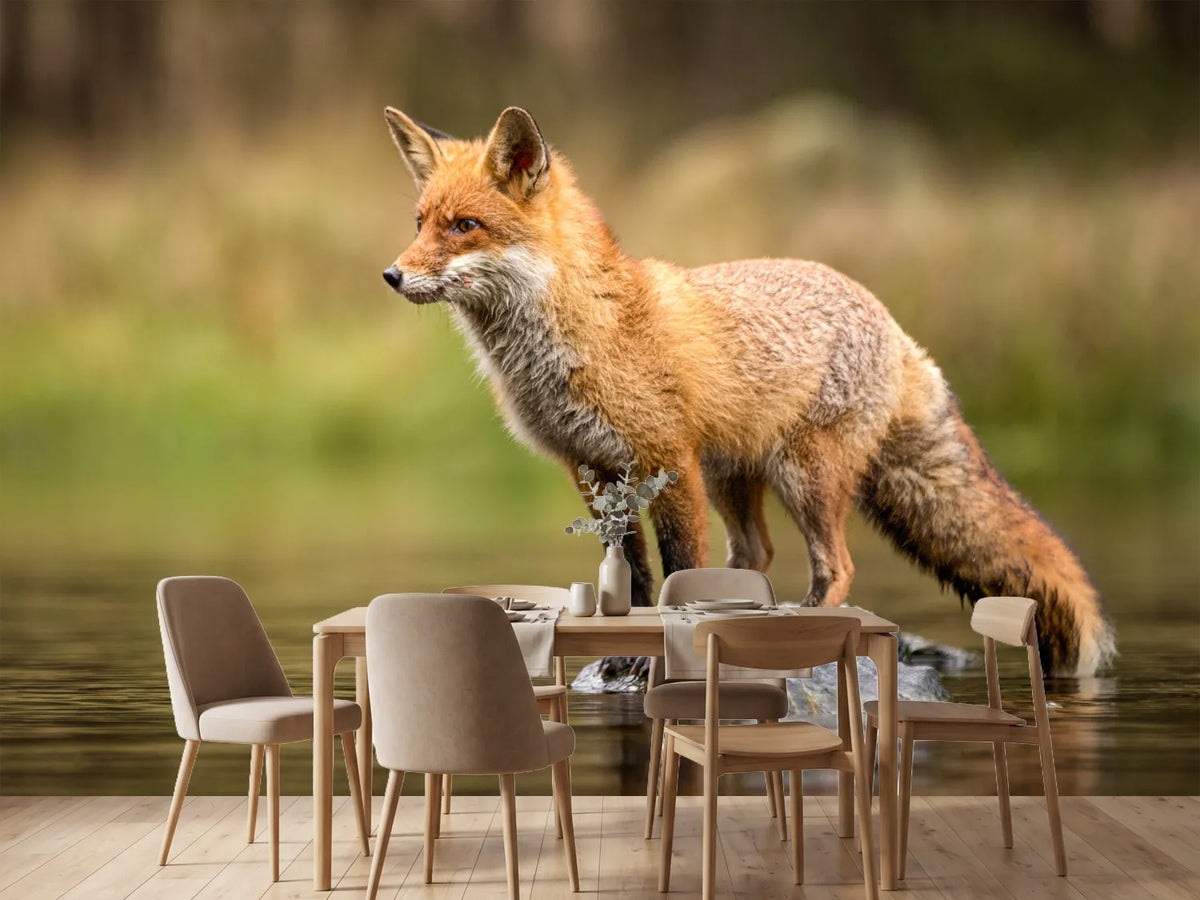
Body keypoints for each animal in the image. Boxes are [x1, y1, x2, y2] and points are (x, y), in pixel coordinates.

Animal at [379, 104, 1115, 677]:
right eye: (419, 222)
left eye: (464, 226)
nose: (391, 275)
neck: (582, 335)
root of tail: (893, 323)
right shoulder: (591, 469)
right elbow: (636, 576)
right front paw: (620, 653)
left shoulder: (666, 461)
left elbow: (677, 570)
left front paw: (651, 657)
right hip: (735, 477)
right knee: (754, 556)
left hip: (803, 477)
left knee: (837, 567)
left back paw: (804, 631)